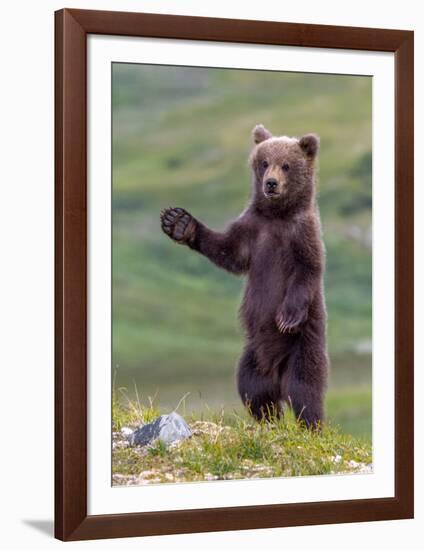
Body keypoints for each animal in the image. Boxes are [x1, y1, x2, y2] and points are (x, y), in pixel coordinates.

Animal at [160, 126, 328, 432]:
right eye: (264, 162)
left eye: (286, 165)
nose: (271, 183)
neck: (277, 216)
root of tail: (276, 372)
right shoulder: (253, 229)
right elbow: (229, 251)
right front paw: (179, 223)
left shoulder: (302, 234)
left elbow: (307, 270)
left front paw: (287, 317)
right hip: (252, 357)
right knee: (254, 391)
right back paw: (268, 419)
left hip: (303, 349)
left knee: (304, 392)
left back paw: (311, 427)